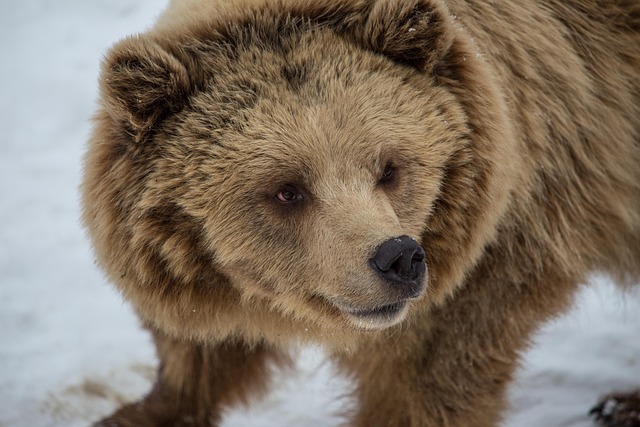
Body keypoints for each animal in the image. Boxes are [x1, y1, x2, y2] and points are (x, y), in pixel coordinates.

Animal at [82, 0, 640, 425]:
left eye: (389, 167)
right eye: (287, 190)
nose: (398, 257)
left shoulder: (509, 236)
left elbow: (432, 370)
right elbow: (197, 346)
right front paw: (140, 410)